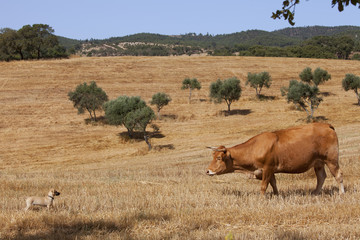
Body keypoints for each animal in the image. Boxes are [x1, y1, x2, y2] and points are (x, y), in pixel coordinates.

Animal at [207, 123, 344, 194]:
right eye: (213, 156)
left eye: (218, 157)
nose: (208, 171)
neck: (254, 148)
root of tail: (326, 125)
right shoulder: (269, 171)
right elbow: (273, 183)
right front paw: (276, 195)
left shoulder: (267, 168)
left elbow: (264, 186)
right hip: (318, 163)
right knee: (321, 177)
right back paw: (315, 193)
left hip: (331, 160)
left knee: (338, 175)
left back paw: (341, 193)